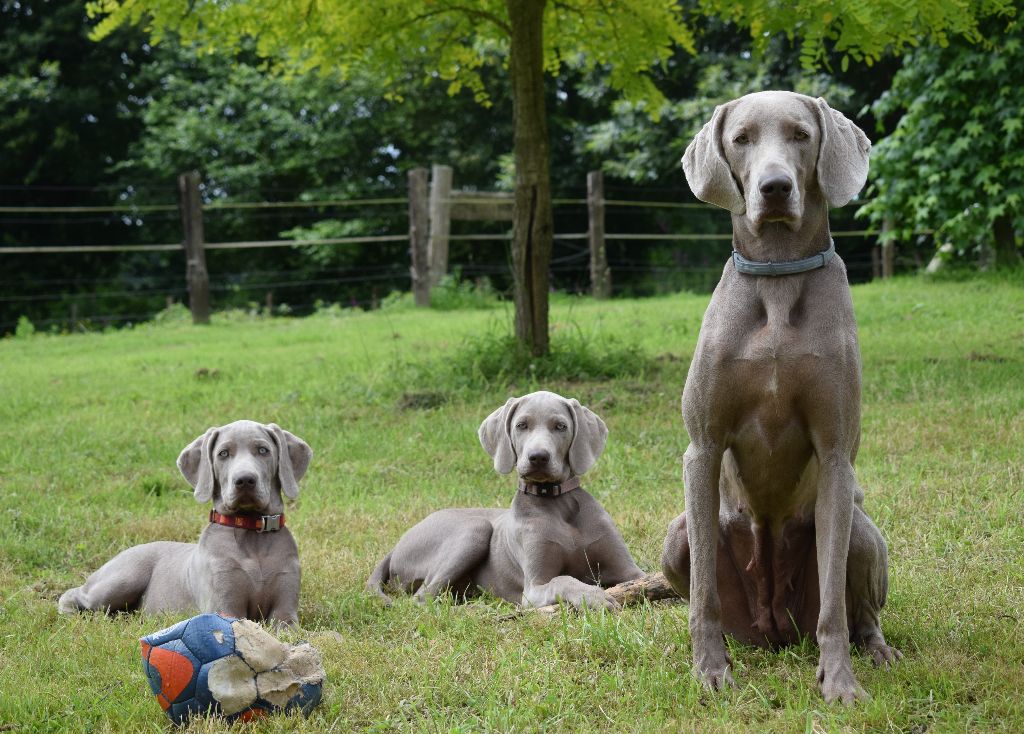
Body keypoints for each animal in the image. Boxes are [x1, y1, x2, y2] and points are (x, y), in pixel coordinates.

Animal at [57, 417, 307, 622]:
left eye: (263, 450)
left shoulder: (285, 612)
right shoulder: (223, 606)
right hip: (123, 578)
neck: (251, 534)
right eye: (223, 454)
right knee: (75, 594)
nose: (244, 480)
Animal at [366, 389, 638, 606]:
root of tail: (397, 545)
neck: (560, 505)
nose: (538, 457)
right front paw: (594, 596)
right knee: (423, 597)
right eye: (521, 425)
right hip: (473, 529)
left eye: (561, 426)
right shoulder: (534, 587)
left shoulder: (630, 570)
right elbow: (563, 579)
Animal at [659, 93, 901, 704]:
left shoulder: (838, 455)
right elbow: (702, 595)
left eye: (800, 134)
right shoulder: (702, 447)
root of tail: (771, 629)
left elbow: (835, 605)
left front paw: (840, 682)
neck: (777, 274)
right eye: (741, 138)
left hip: (864, 534)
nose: (774, 187)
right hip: (675, 537)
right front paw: (709, 670)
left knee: (859, 607)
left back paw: (876, 649)